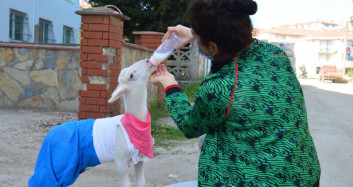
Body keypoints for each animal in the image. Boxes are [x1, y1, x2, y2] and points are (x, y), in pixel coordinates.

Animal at [28, 59, 157, 187]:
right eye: (131, 75)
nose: (148, 61)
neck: (134, 122)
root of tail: (50, 134)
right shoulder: (120, 161)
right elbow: (127, 184)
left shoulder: (139, 159)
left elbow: (142, 182)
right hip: (60, 162)